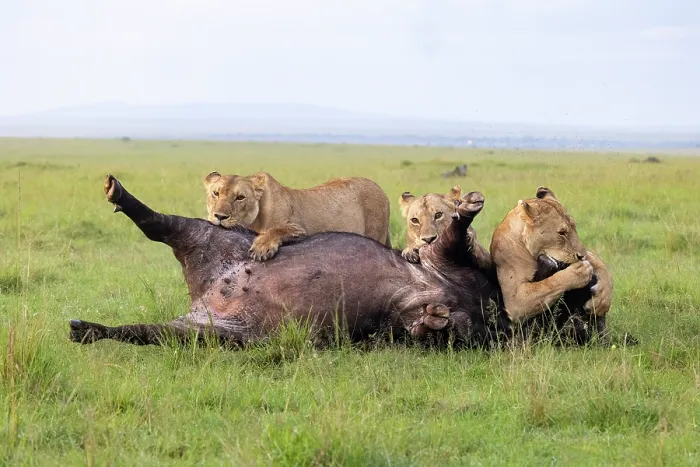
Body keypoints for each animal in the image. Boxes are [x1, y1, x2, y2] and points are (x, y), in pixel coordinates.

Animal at [204, 171, 392, 261]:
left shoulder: (301, 229)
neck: (253, 221)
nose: (219, 216)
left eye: (240, 197)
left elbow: (276, 230)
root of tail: (381, 189)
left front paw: (262, 248)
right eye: (216, 193)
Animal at [489, 186, 613, 339]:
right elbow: (549, 283)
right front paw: (579, 272)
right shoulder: (516, 302)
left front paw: (604, 296)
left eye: (574, 227)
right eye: (561, 233)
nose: (581, 255)